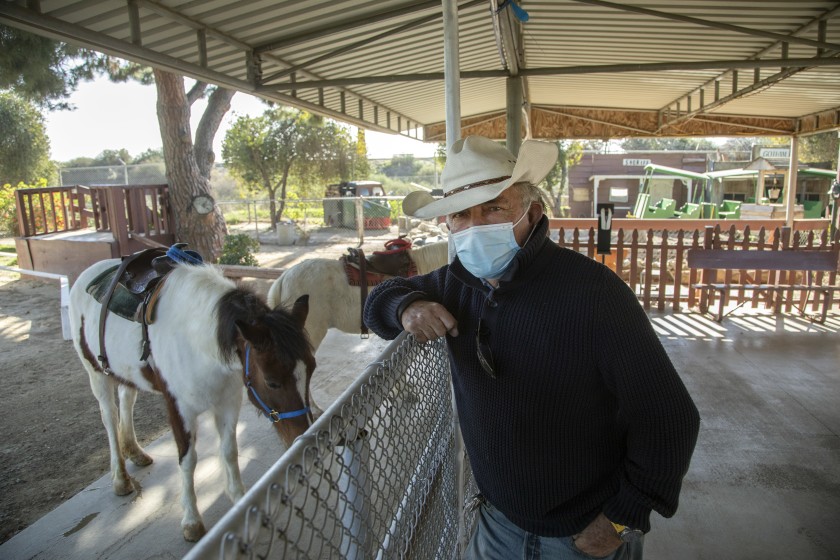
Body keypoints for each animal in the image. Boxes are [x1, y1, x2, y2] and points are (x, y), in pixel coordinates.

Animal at [69, 262, 316, 544]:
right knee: (109, 417)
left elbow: (229, 450)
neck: (197, 341)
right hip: (97, 373)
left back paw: (135, 452)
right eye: (273, 382)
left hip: (126, 373)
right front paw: (191, 521)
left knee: (127, 400)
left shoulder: (228, 402)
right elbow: (188, 460)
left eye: (311, 368)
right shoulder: (180, 410)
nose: (304, 440)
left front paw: (239, 500)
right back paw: (120, 479)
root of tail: (87, 273)